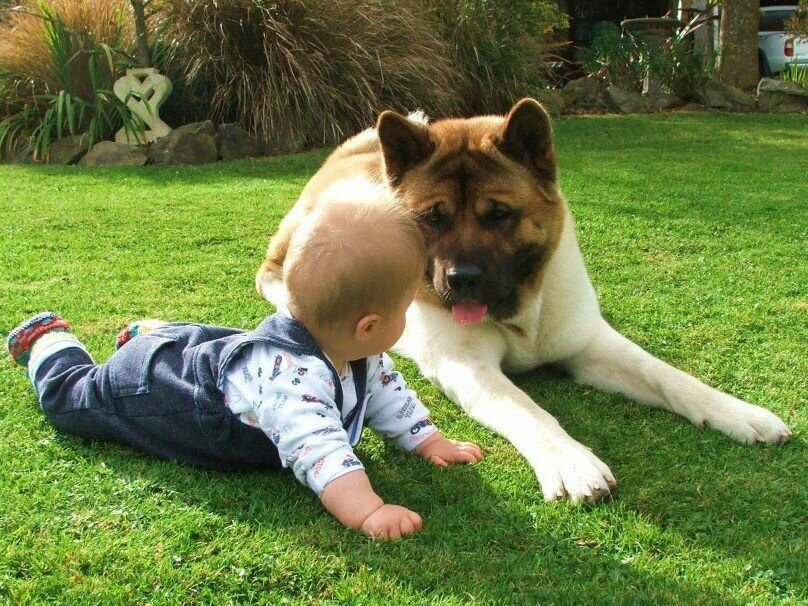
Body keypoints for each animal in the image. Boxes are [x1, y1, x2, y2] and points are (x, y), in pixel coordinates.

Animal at [256, 100, 792, 506]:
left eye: (499, 214)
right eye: (433, 218)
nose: (462, 279)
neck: (519, 312)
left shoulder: (587, 345)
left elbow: (666, 375)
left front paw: (737, 412)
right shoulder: (467, 368)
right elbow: (529, 411)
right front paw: (571, 460)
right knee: (273, 272)